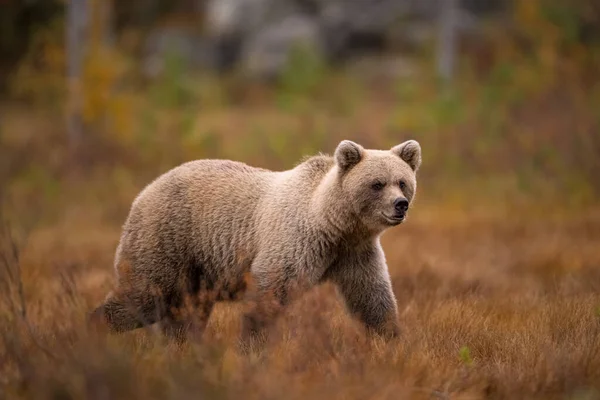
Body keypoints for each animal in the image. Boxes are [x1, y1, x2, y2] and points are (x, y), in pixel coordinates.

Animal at [90, 140, 422, 346]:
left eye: (402, 181)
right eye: (377, 184)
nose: (400, 205)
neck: (332, 224)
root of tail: (145, 190)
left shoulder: (355, 253)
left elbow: (372, 298)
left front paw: (392, 340)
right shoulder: (295, 241)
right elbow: (269, 295)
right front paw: (252, 345)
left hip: (195, 271)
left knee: (185, 312)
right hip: (168, 237)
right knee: (144, 297)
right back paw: (91, 331)